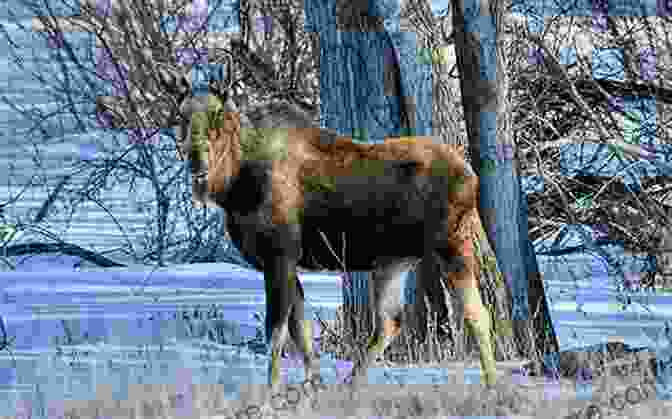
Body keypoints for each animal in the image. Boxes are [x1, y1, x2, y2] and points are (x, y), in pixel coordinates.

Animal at [173, 63, 498, 394]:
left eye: (217, 114)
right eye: (181, 115)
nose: (196, 160)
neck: (234, 188)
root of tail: (472, 177)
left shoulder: (280, 255)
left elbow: (276, 331)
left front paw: (272, 390)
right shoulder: (286, 262)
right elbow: (300, 329)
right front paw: (312, 383)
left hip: (452, 244)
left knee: (477, 313)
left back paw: (493, 385)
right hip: (394, 262)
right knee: (390, 321)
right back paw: (350, 384)